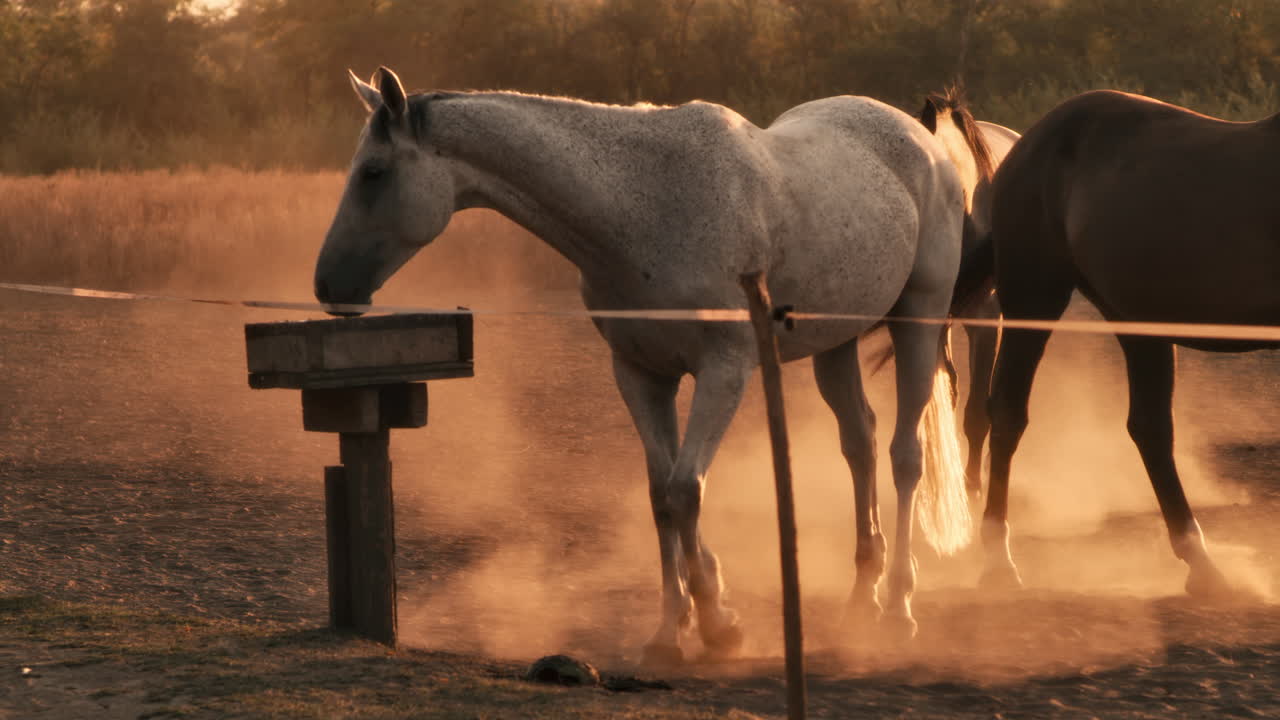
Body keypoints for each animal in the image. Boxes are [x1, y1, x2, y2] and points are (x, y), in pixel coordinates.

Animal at [314, 67, 993, 659]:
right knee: (860, 444)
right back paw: (861, 598)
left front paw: (719, 624)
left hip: (918, 321)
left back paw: (899, 608)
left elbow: (687, 489)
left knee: (905, 456)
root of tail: (924, 144)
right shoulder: (640, 375)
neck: (643, 205)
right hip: (835, 344)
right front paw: (671, 630)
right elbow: (660, 495)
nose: (327, 286)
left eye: (373, 172)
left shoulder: (724, 371)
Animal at [973, 89, 1280, 597]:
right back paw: (999, 562)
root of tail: (1025, 145)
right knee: (1008, 414)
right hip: (1035, 300)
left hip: (1137, 326)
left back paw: (1202, 563)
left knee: (1150, 429)